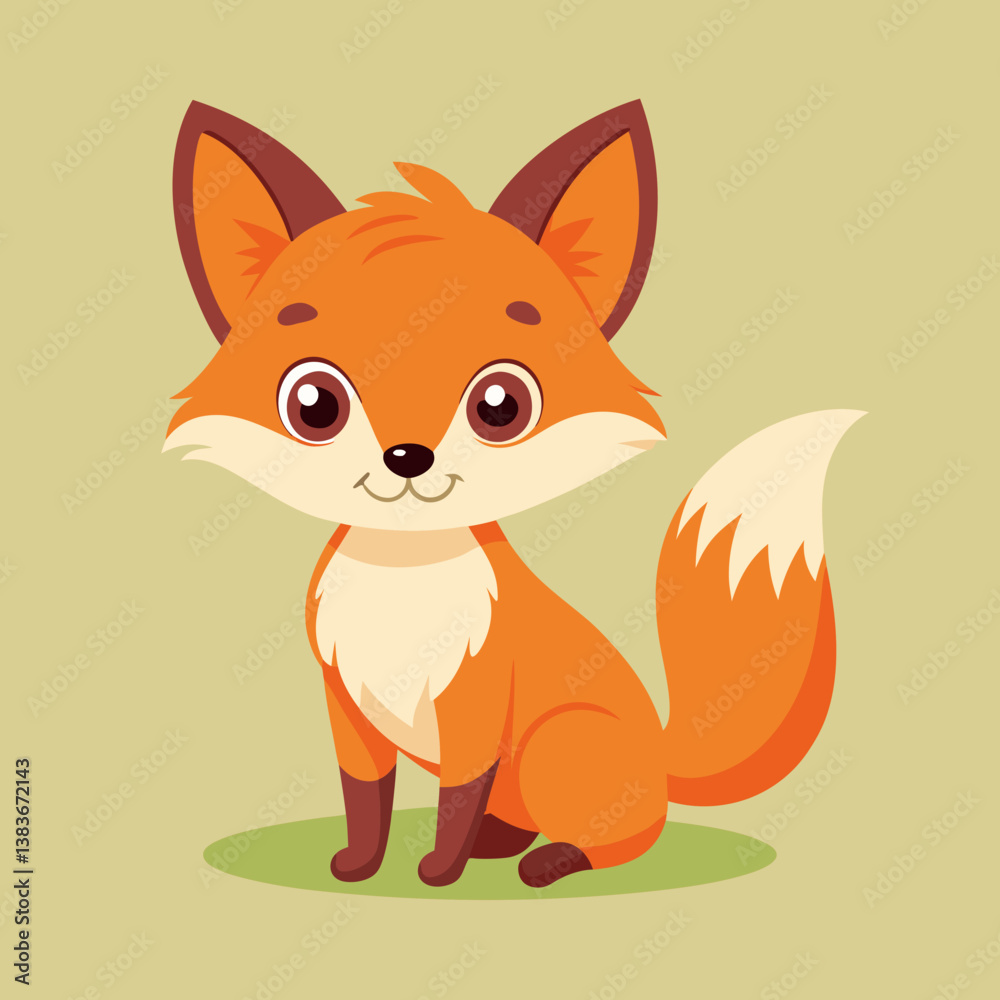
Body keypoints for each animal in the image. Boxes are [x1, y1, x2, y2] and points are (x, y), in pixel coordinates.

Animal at [165, 99, 863, 889]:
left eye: (500, 404)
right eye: (314, 403)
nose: (407, 457)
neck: (402, 581)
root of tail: (659, 758)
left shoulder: (474, 704)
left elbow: (456, 796)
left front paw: (439, 873)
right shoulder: (347, 706)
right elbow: (365, 797)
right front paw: (360, 866)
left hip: (561, 744)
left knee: (623, 839)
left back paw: (550, 861)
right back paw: (501, 845)